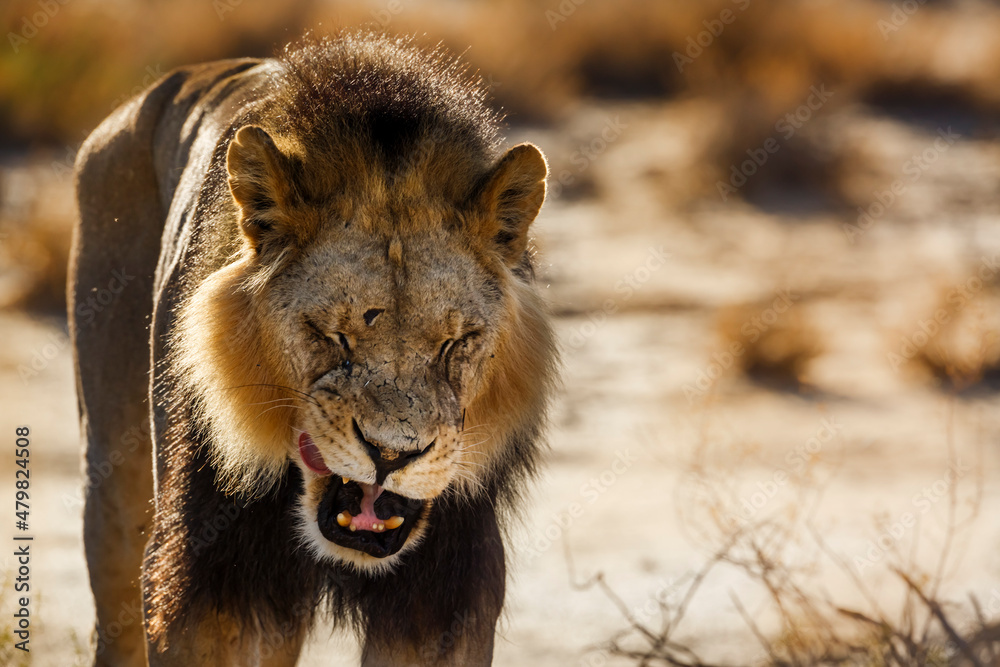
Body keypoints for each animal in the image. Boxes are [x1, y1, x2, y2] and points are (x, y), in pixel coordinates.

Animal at [69, 32, 556, 666]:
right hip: (114, 484)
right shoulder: (208, 584)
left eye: (454, 343)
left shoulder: (443, 599)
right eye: (333, 335)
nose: (392, 455)